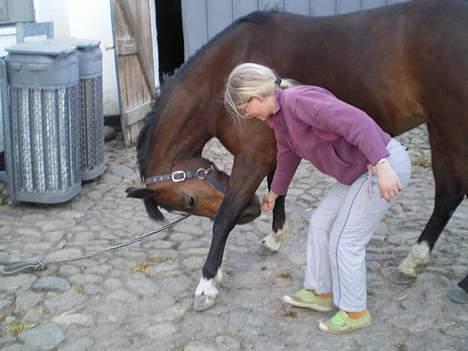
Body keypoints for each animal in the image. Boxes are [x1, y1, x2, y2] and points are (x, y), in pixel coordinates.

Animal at [128, 0, 468, 312]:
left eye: (189, 201)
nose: (251, 211)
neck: (226, 73)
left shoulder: (252, 157)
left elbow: (224, 217)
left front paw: (208, 283)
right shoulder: (274, 150)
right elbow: (277, 190)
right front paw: (275, 237)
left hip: (453, 132)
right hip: (440, 131)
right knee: (449, 195)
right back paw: (414, 261)